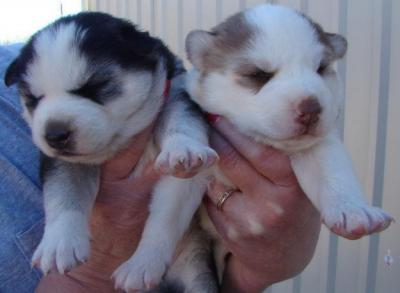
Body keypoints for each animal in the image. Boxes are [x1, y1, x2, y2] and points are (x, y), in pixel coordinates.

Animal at [5, 12, 219, 290]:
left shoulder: (176, 93)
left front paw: (142, 263)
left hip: (196, 270)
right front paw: (59, 242)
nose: (54, 135)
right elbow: (63, 192)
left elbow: (166, 215)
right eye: (33, 99)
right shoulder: (61, 161)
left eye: (95, 86)